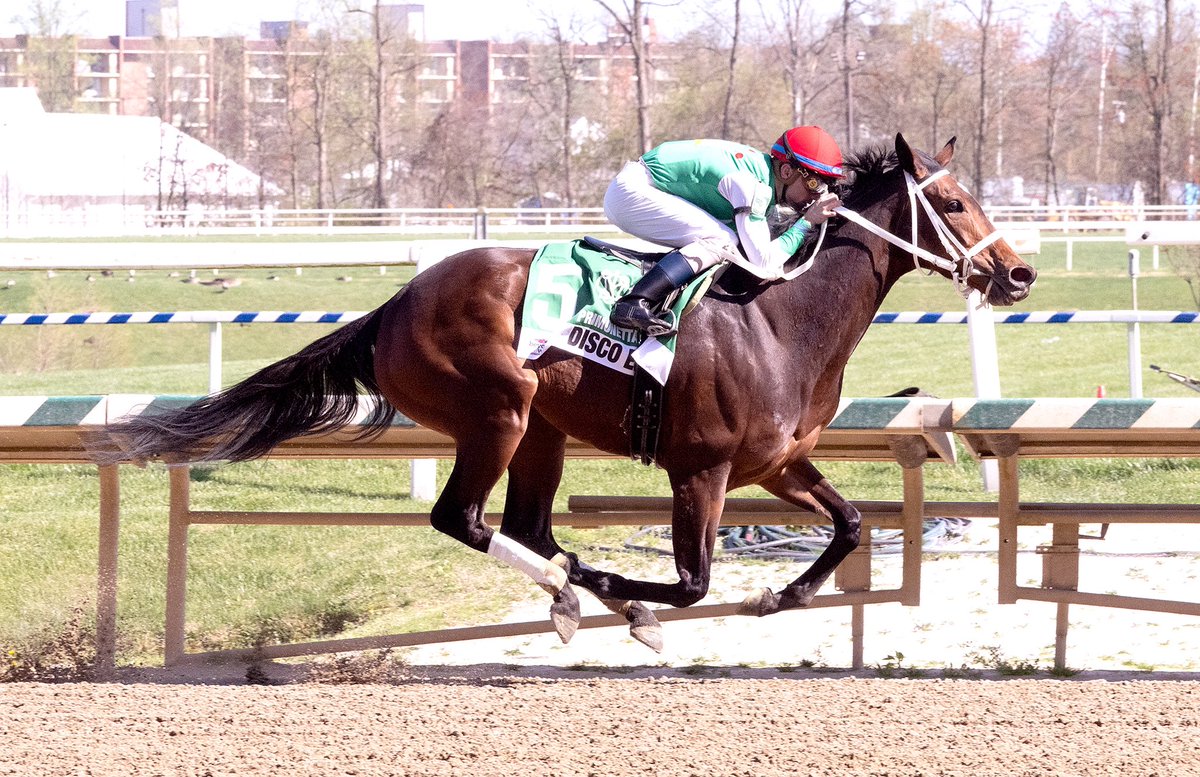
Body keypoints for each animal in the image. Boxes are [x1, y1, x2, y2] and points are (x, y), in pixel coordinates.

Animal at [100, 133, 1032, 647]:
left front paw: (783, 591)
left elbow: (849, 523)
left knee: (525, 524)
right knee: (464, 519)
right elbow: (690, 583)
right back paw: (567, 590)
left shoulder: (776, 463)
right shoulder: (700, 469)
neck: (778, 316)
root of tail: (394, 304)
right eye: (953, 200)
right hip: (498, 410)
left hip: (542, 428)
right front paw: (635, 600)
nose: (1017, 273)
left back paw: (568, 584)